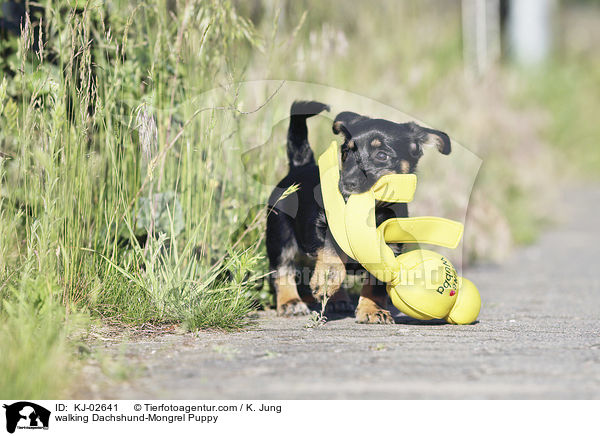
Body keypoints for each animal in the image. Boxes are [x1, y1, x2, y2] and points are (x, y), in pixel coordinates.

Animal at [268, 100, 450, 322]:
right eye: (345, 153)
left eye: (381, 155)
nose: (346, 184)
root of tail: (299, 166)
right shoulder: (323, 225)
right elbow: (332, 251)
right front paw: (326, 280)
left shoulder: (389, 248)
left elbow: (376, 283)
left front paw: (372, 310)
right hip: (279, 234)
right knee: (283, 269)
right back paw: (290, 302)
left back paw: (337, 300)